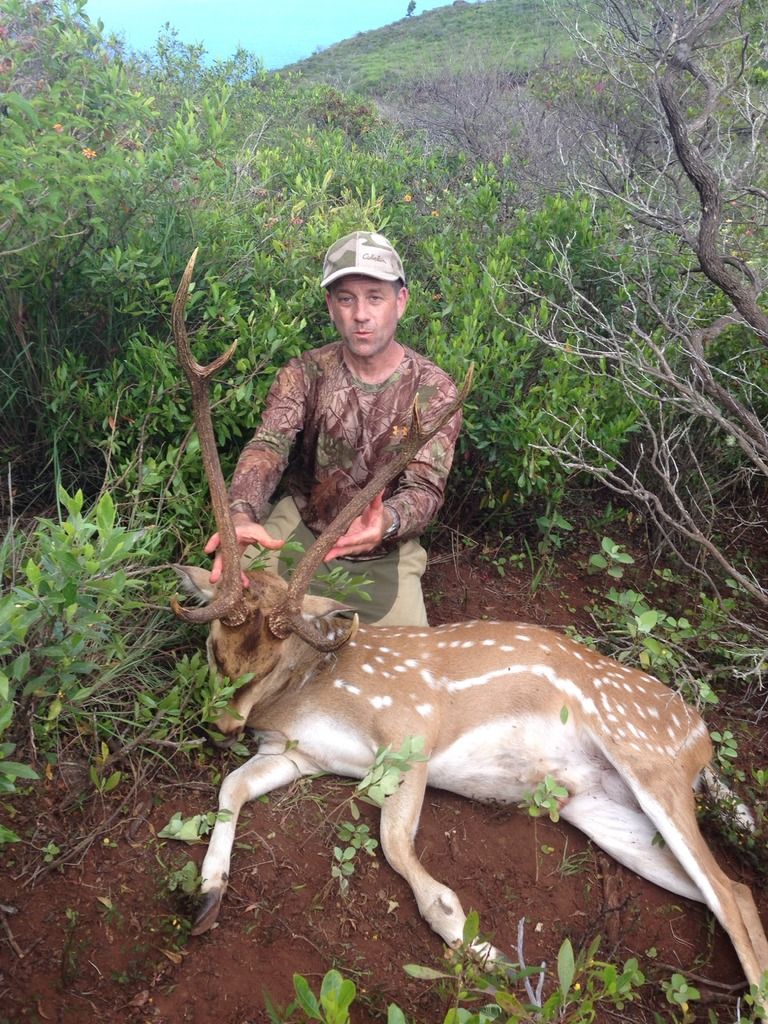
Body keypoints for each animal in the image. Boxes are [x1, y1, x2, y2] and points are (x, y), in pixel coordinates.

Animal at [170, 251, 768, 1001]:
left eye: (278, 654)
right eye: (215, 644)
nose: (223, 721)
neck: (312, 693)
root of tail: (702, 736)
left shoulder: (412, 728)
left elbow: (398, 849)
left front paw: (487, 952)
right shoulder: (298, 753)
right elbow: (231, 787)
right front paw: (206, 896)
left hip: (648, 759)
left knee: (731, 895)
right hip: (605, 811)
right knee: (736, 894)